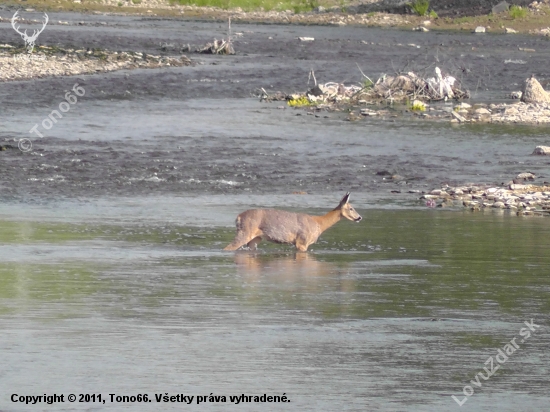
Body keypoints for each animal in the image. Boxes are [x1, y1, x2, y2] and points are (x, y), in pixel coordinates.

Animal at [224, 192, 362, 253]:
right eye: (351, 208)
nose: (359, 217)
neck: (319, 223)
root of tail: (238, 218)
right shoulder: (302, 241)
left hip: (255, 239)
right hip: (245, 232)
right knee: (228, 248)